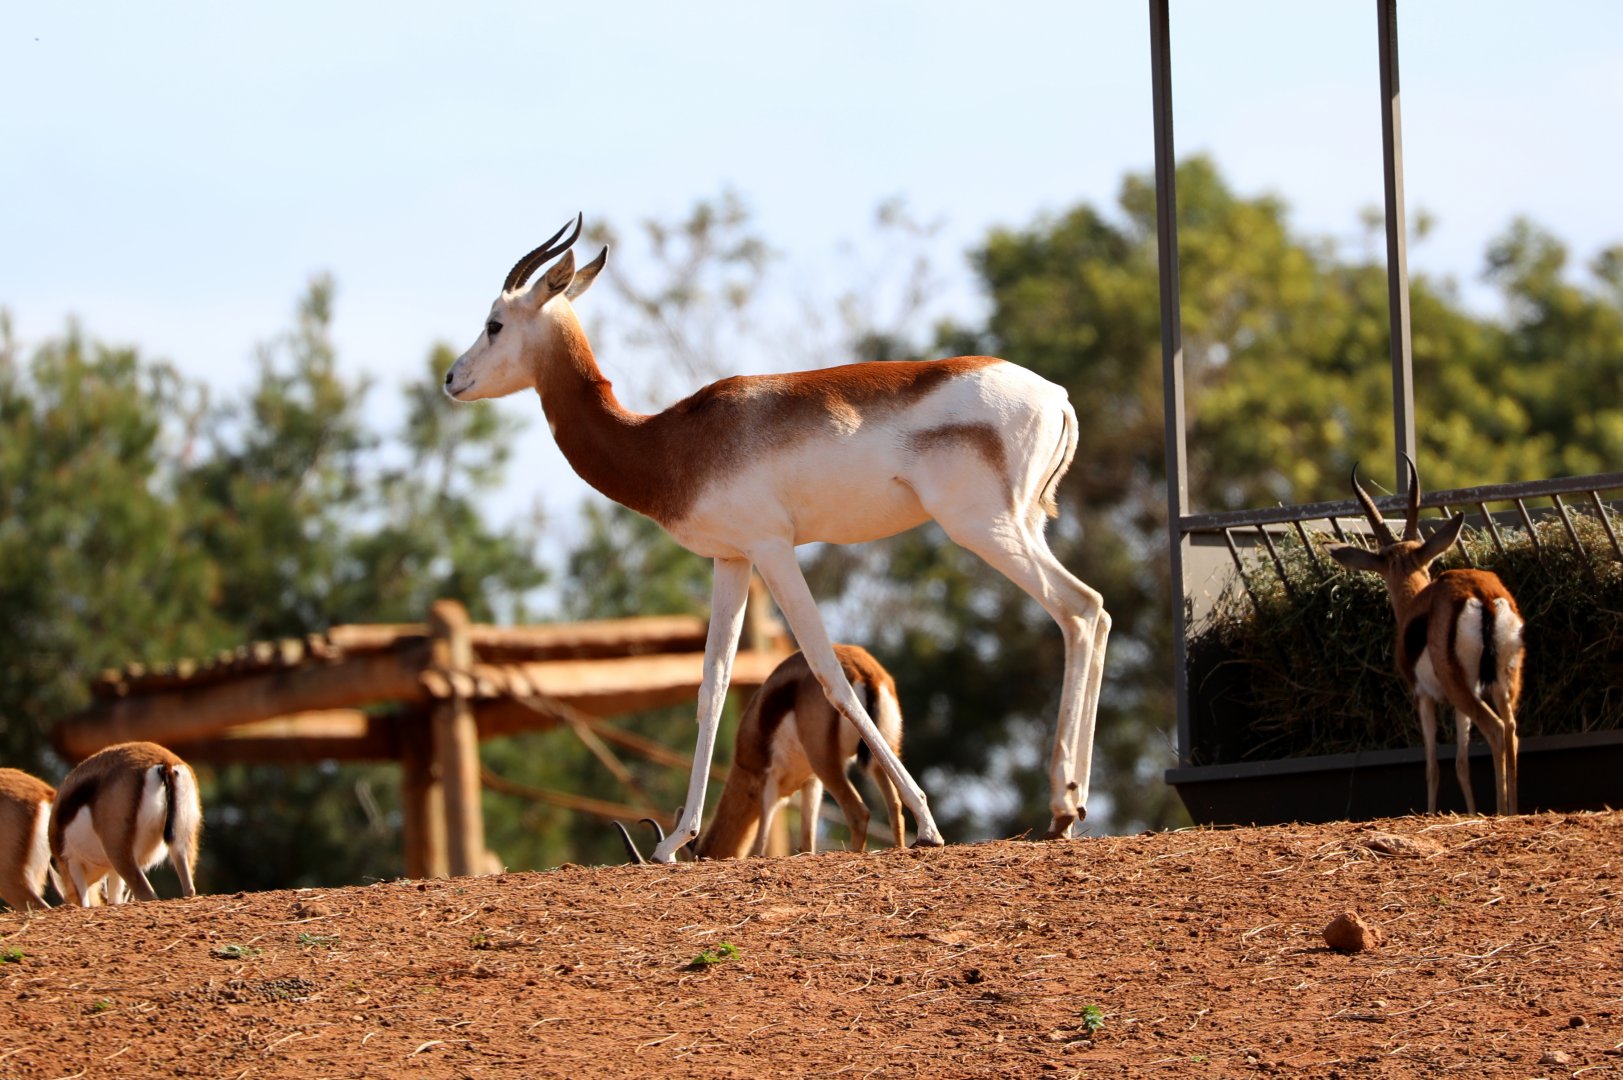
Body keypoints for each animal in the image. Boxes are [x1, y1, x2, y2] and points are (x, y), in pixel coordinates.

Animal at [50, 742, 202, 906]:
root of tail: (165, 763)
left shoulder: (73, 863)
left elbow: (85, 903)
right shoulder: (112, 871)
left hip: (120, 855)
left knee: (146, 893)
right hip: (181, 844)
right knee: (189, 888)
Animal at [445, 215, 1110, 862]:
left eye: (495, 323)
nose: (451, 378)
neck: (666, 442)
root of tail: (1058, 397)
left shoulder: (772, 548)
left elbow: (828, 670)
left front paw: (926, 822)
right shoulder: (731, 558)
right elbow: (711, 688)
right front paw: (673, 843)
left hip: (984, 528)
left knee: (1079, 608)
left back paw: (1062, 805)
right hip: (1025, 526)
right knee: (1093, 613)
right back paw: (1068, 810)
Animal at [1326, 457, 1524, 815]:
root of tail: (1483, 596)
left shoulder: (1423, 696)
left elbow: (1432, 766)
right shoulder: (1458, 704)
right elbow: (1461, 763)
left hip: (1461, 687)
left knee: (1496, 729)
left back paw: (1501, 811)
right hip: (1502, 683)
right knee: (1512, 731)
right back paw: (1513, 811)